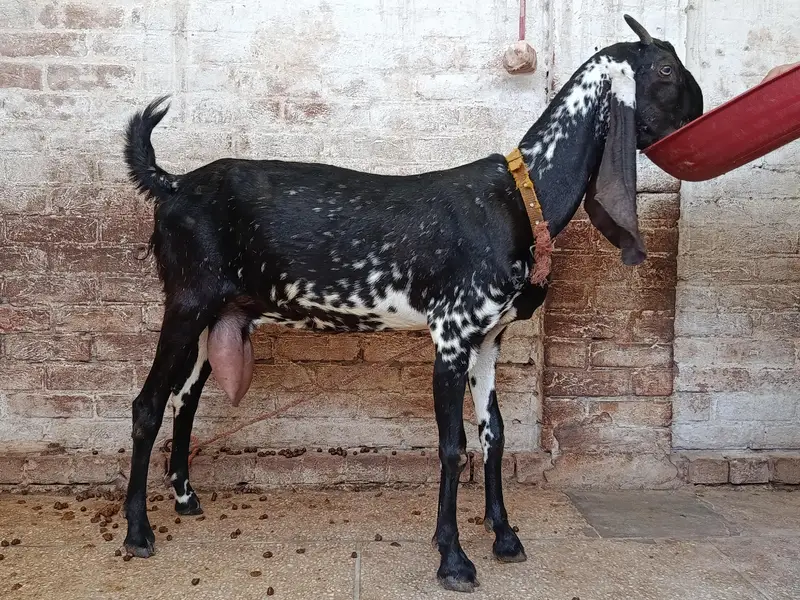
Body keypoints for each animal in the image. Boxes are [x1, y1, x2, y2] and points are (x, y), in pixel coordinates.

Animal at [121, 15, 702, 592]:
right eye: (666, 69)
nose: (697, 116)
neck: (519, 196)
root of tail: (172, 184)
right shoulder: (451, 333)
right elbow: (453, 445)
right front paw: (454, 559)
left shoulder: (488, 338)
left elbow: (494, 434)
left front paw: (504, 536)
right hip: (186, 301)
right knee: (148, 403)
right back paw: (138, 532)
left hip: (216, 315)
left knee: (184, 399)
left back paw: (185, 497)